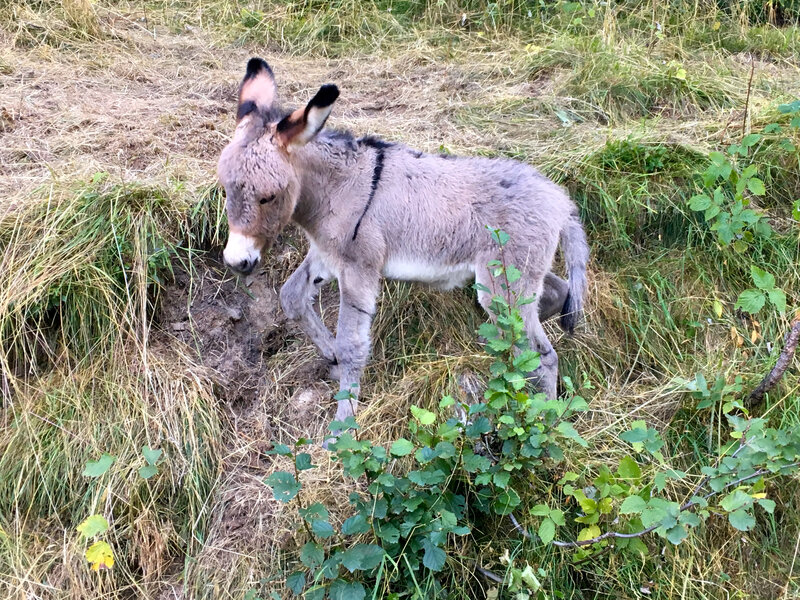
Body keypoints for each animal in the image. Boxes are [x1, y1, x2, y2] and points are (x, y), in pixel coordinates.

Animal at [217, 58, 588, 428]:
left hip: (502, 285)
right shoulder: (326, 254)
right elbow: (292, 296)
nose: (237, 262)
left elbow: (352, 346)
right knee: (557, 294)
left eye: (268, 197)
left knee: (542, 355)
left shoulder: (358, 268)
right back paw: (500, 344)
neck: (337, 187)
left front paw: (342, 423)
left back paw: (544, 420)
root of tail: (560, 202)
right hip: (517, 275)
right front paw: (329, 353)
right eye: (225, 189)